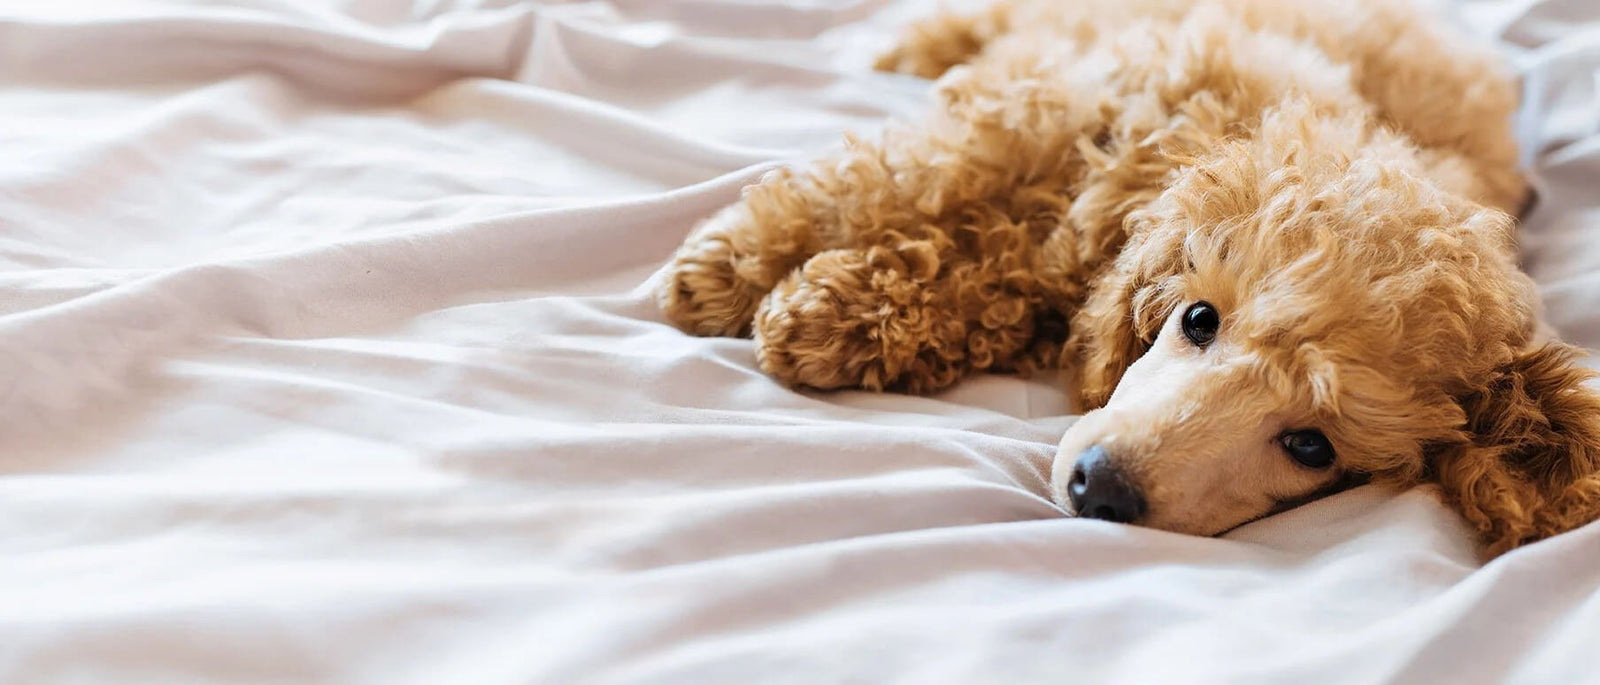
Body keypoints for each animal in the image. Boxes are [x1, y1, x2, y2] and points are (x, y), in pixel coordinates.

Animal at [652, 0, 1600, 556]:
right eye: (1199, 320)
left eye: (1311, 447)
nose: (1099, 488)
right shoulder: (1036, 116)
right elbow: (891, 181)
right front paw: (728, 268)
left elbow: (998, 286)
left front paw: (834, 315)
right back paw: (921, 46)